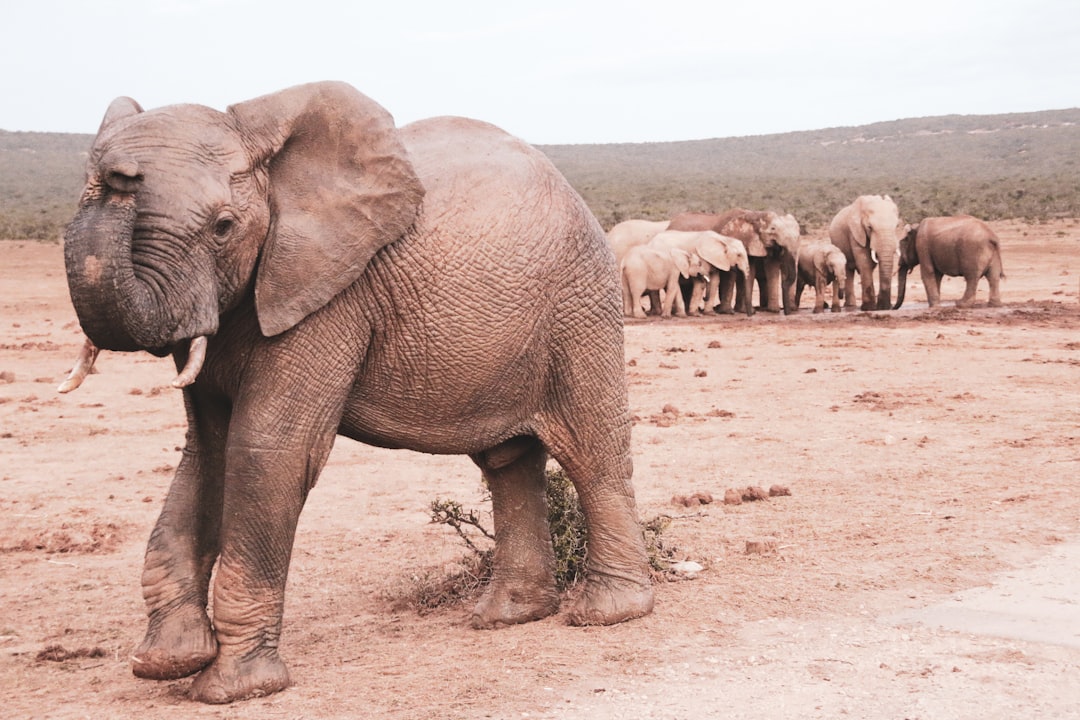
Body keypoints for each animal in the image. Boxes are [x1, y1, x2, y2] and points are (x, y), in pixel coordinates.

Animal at [59, 83, 652, 703]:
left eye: (223, 226)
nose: (118, 176)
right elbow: (207, 452)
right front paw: (166, 663)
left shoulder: (331, 294)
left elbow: (266, 450)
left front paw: (233, 689)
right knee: (507, 461)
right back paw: (507, 616)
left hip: (579, 304)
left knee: (591, 451)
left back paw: (607, 613)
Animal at [665, 211, 803, 317]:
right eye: (773, 229)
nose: (787, 312)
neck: (754, 214)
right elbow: (731, 274)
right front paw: (728, 312)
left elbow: (766, 268)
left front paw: (770, 311)